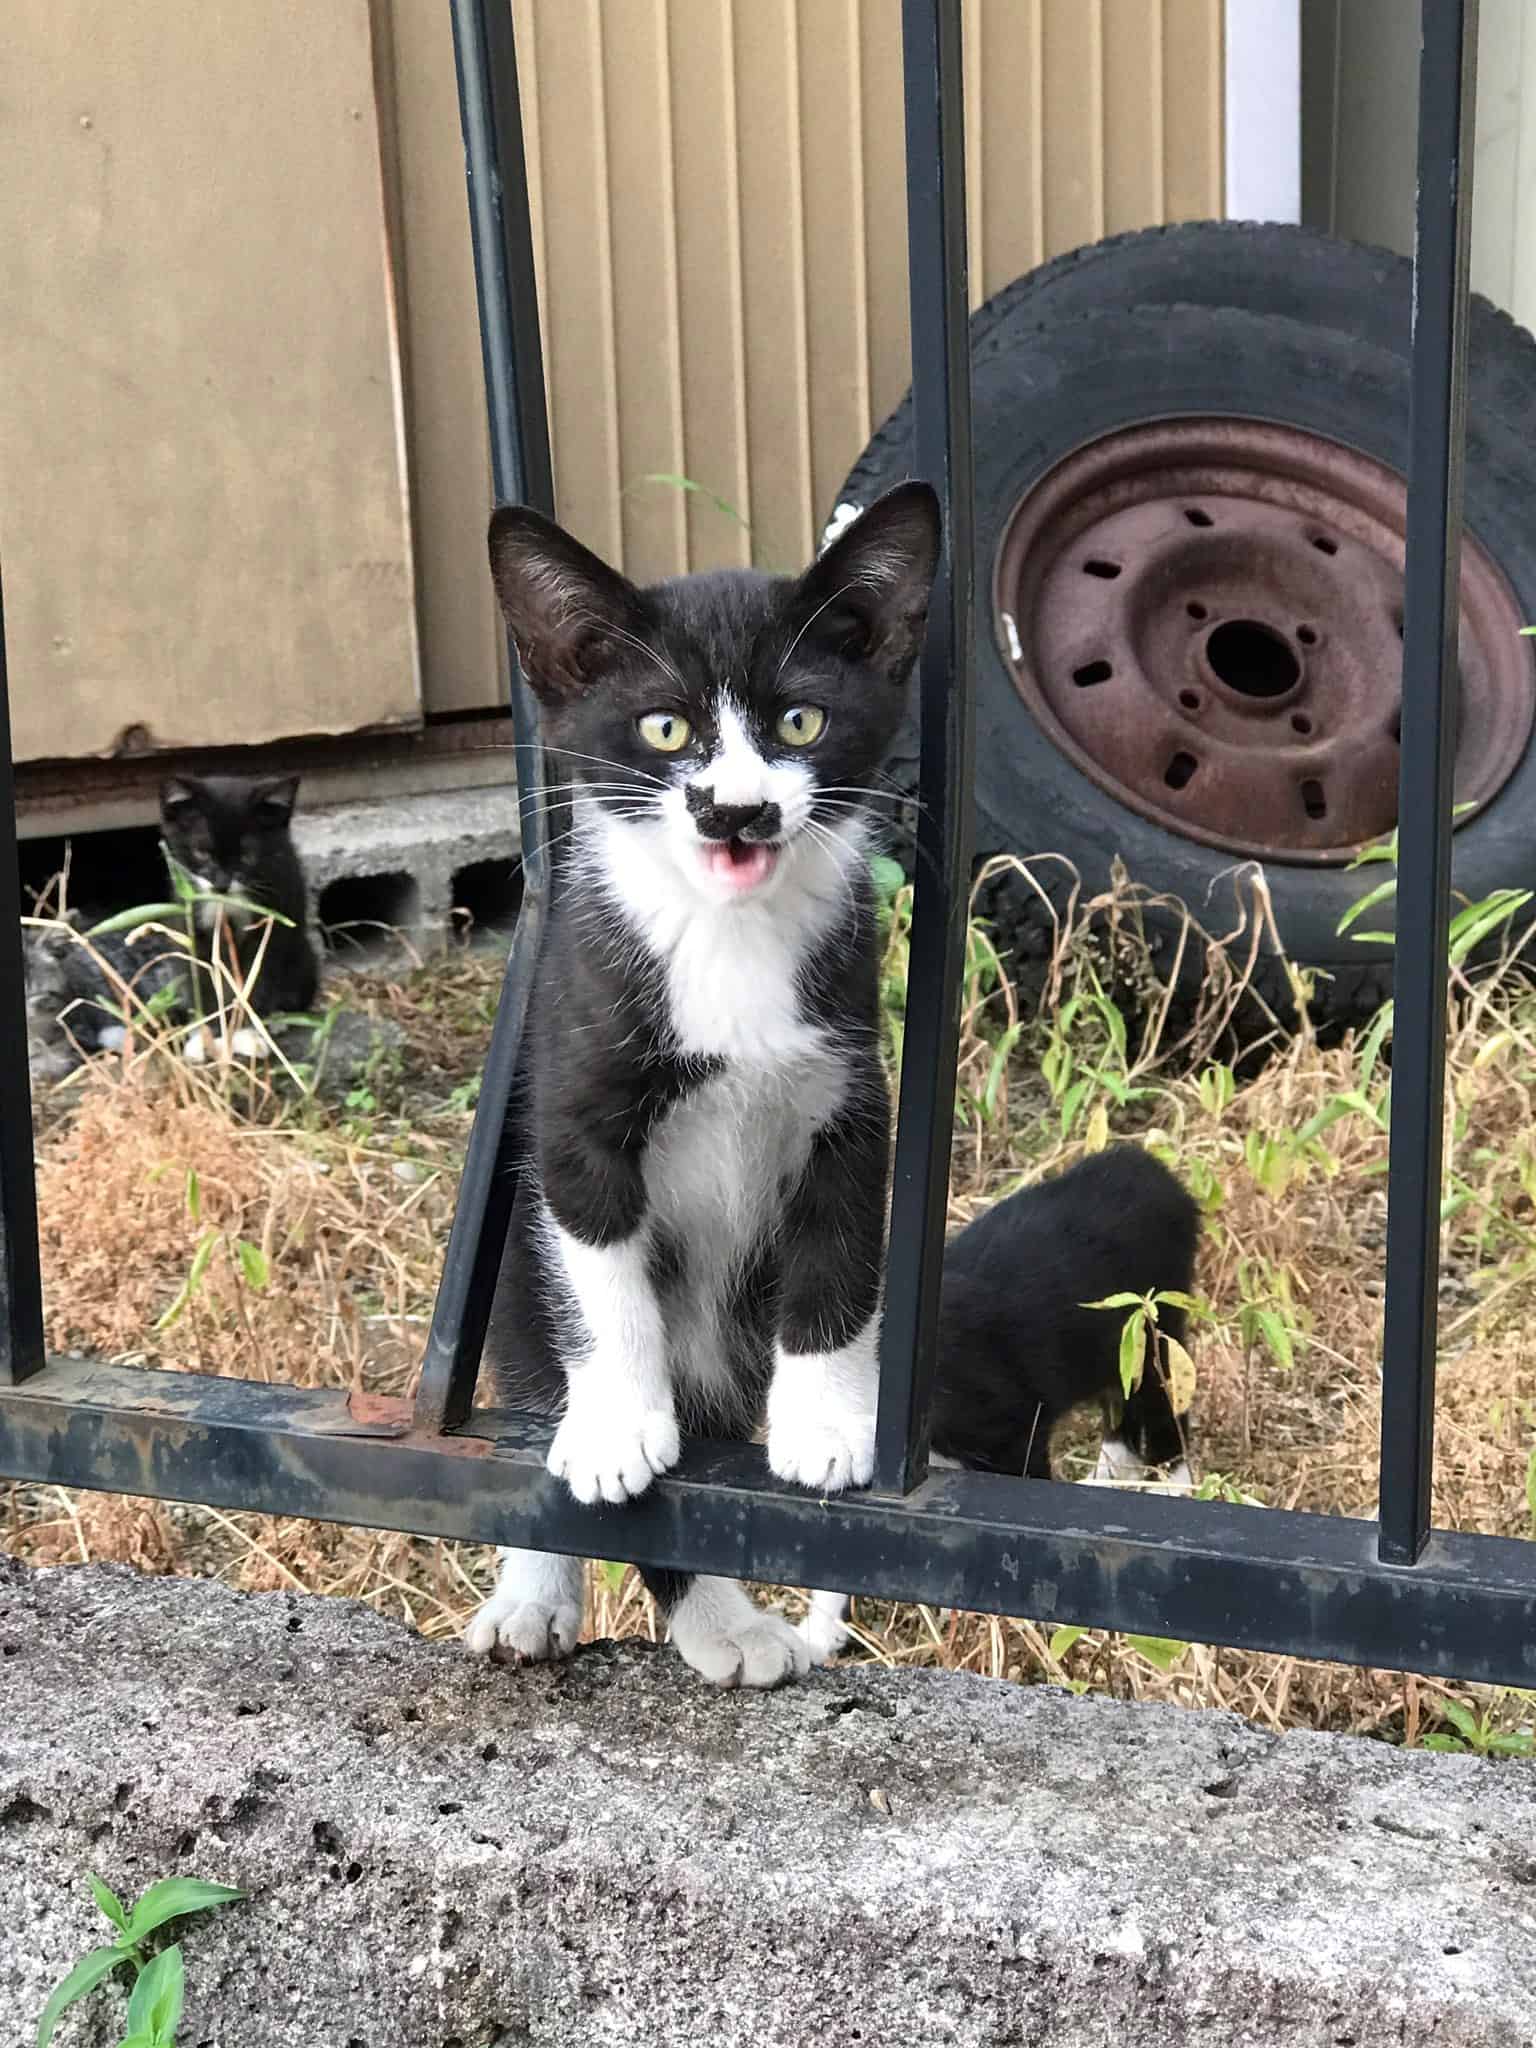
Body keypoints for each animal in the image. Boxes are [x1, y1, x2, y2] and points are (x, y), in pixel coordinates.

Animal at [159, 774, 319, 1064]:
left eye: (247, 856)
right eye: (201, 852)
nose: (221, 884)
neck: (227, 903)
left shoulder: (273, 919)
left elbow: (259, 976)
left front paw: (247, 1034)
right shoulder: (191, 921)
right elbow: (203, 977)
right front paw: (207, 1038)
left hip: (303, 959)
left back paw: (277, 1019)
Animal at [462, 483, 946, 1695]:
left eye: (801, 724)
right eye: (666, 730)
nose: (736, 810)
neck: (726, 937)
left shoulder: (849, 1098)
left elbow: (837, 1267)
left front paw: (827, 1423)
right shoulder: (575, 1105)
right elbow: (604, 1281)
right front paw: (618, 1427)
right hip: (513, 1283)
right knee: (534, 1369)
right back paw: (580, 1600)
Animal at [798, 1155, 1212, 1662]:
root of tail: (1147, 1167)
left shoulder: (1011, 1430)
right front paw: (817, 1634)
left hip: (1149, 1335)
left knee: (1164, 1417)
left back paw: (1174, 1494)